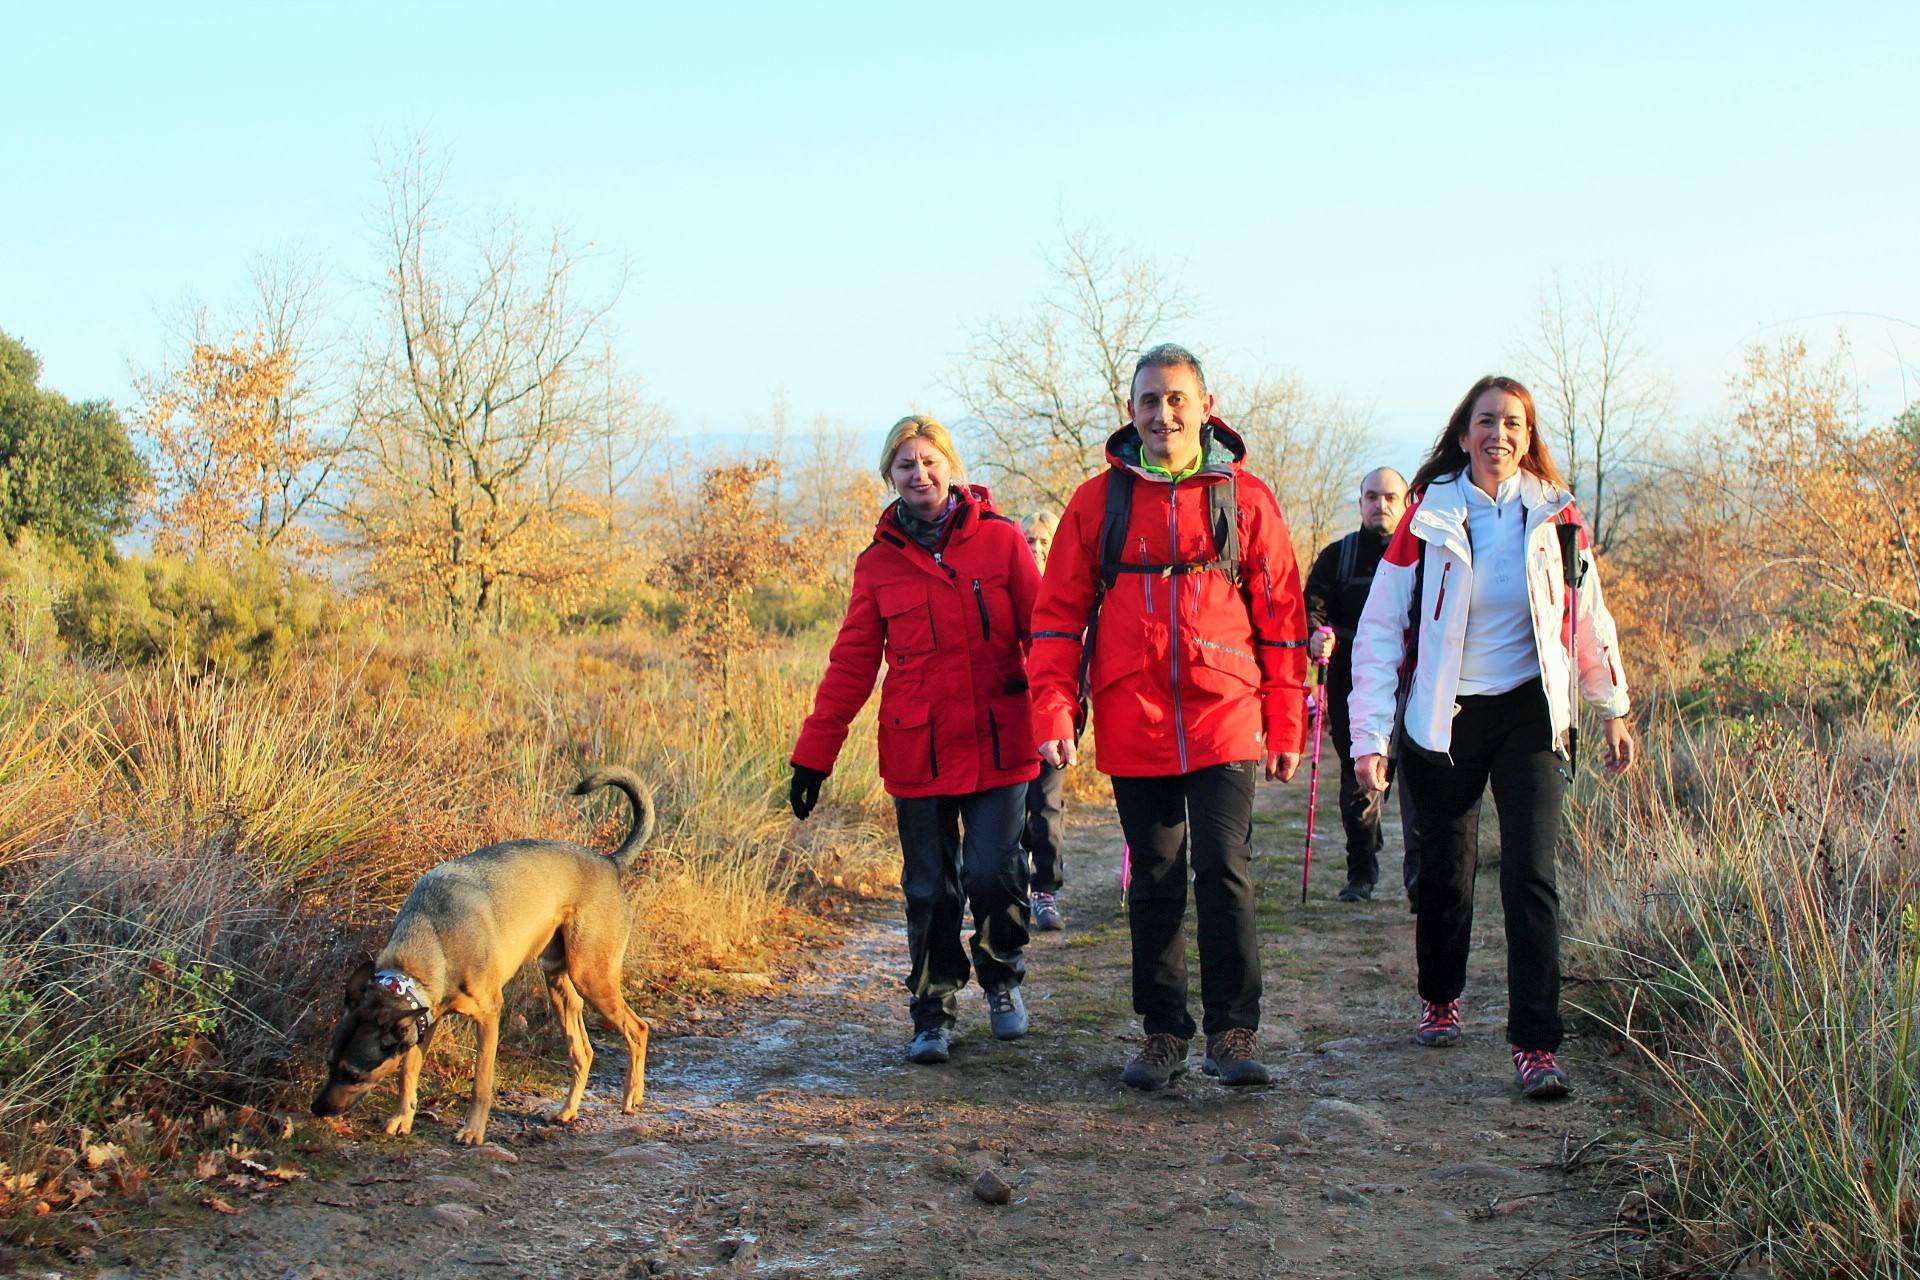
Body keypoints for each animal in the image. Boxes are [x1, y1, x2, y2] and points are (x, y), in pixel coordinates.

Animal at [307, 767, 652, 1143]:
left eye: (354, 1074)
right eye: (328, 1062)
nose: (316, 1110)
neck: (432, 936)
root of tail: (609, 862)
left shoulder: (488, 1015)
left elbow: (481, 1084)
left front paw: (472, 1131)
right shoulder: (426, 1021)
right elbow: (407, 1072)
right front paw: (402, 1117)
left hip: (591, 976)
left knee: (638, 1029)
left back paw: (631, 1098)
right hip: (558, 980)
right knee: (583, 1052)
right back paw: (566, 1112)